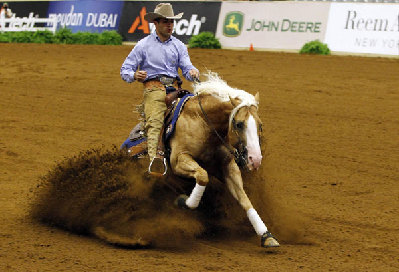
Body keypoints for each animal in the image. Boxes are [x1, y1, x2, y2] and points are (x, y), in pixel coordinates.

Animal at [170, 73, 280, 248]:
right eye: (239, 124)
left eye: (260, 125)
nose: (255, 159)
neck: (203, 123)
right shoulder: (178, 160)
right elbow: (203, 176)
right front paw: (183, 201)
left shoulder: (228, 166)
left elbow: (244, 198)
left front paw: (266, 235)